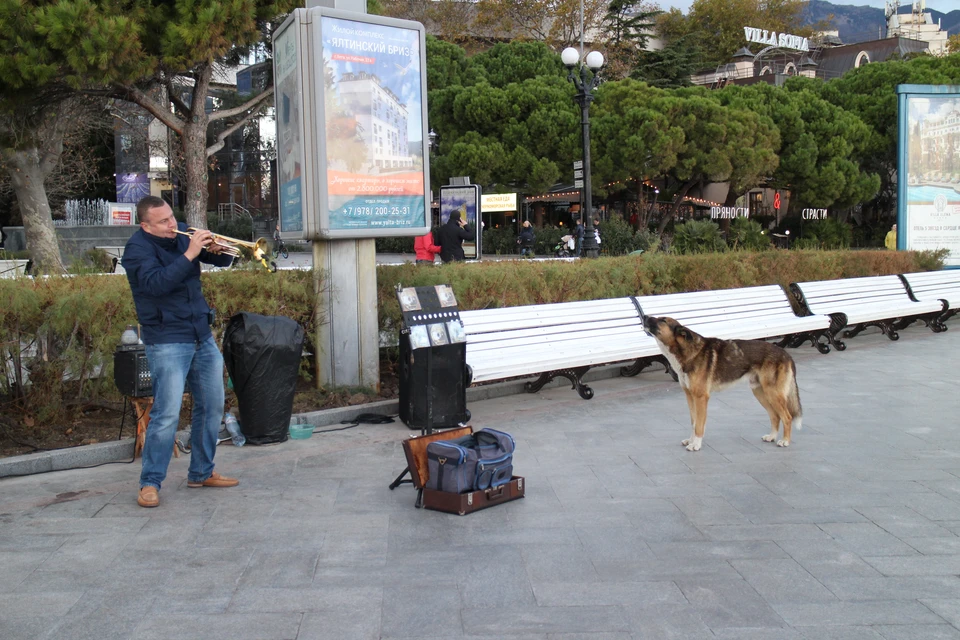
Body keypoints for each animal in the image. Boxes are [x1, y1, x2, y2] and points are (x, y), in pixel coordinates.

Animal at [644, 316, 804, 450]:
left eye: (663, 320)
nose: (644, 316)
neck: (687, 352)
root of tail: (786, 354)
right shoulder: (690, 397)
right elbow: (693, 422)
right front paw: (691, 440)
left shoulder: (701, 398)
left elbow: (699, 425)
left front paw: (696, 444)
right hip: (760, 393)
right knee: (775, 416)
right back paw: (771, 437)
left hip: (773, 394)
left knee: (787, 417)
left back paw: (785, 441)